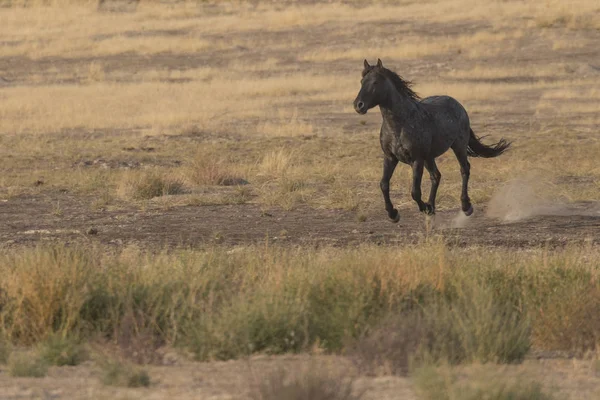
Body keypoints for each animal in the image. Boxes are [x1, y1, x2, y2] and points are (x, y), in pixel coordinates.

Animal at [354, 59, 508, 222]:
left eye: (375, 82)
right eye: (361, 81)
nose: (358, 105)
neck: (400, 124)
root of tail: (458, 105)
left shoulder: (417, 160)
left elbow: (415, 191)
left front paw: (424, 208)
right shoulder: (390, 157)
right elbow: (384, 184)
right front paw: (393, 214)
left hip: (458, 146)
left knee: (464, 169)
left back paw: (466, 207)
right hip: (430, 157)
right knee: (436, 176)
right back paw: (433, 207)